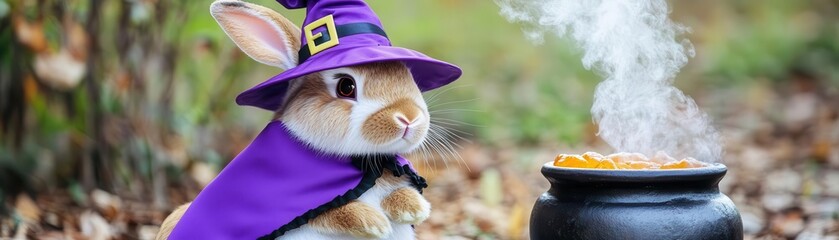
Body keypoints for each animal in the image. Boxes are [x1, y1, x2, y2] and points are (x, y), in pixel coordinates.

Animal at [154, 0, 442, 239]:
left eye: (408, 75)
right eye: (346, 86)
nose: (409, 118)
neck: (361, 162)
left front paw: (415, 208)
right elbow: (329, 212)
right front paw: (374, 223)